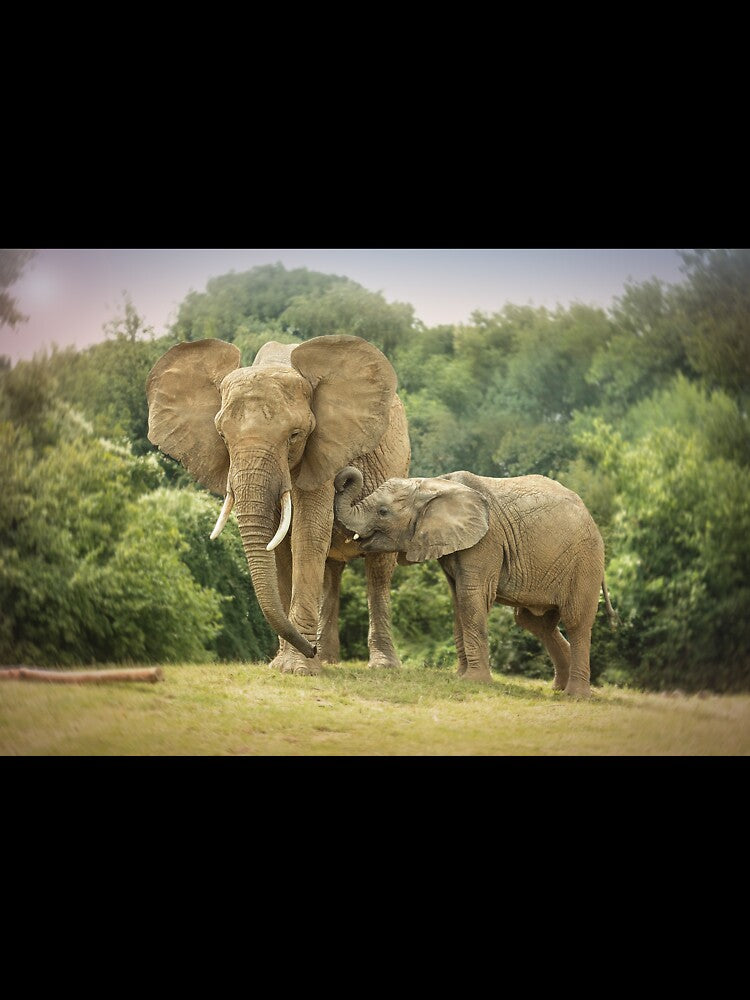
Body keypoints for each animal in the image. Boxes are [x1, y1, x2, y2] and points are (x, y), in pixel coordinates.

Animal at [146, 335, 410, 675]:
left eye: (294, 435)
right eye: (222, 437)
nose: (309, 648)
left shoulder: (325, 447)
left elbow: (307, 532)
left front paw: (298, 668)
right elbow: (280, 545)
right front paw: (284, 664)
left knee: (377, 570)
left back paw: (380, 666)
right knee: (331, 572)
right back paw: (327, 659)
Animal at [334, 467, 618, 698]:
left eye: (383, 512)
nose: (342, 479)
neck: (434, 484)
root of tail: (591, 518)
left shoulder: (485, 542)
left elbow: (471, 597)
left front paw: (474, 681)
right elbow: (458, 599)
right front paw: (460, 676)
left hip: (585, 563)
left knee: (576, 621)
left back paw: (576, 695)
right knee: (536, 623)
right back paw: (559, 688)